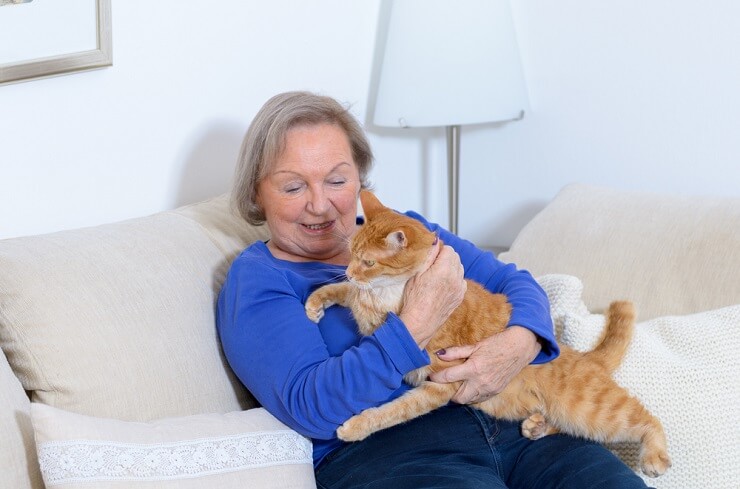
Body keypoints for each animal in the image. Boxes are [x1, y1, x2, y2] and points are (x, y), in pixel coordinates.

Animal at [304, 191, 672, 476]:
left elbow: (393, 411)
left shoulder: (441, 385)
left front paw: (355, 426)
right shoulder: (366, 307)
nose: (350, 271)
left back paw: (654, 457)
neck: (392, 295)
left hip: (593, 409)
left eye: (368, 262)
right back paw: (538, 425)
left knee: (647, 418)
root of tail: (581, 355)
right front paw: (316, 302)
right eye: (351, 254)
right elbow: (345, 294)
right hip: (572, 415)